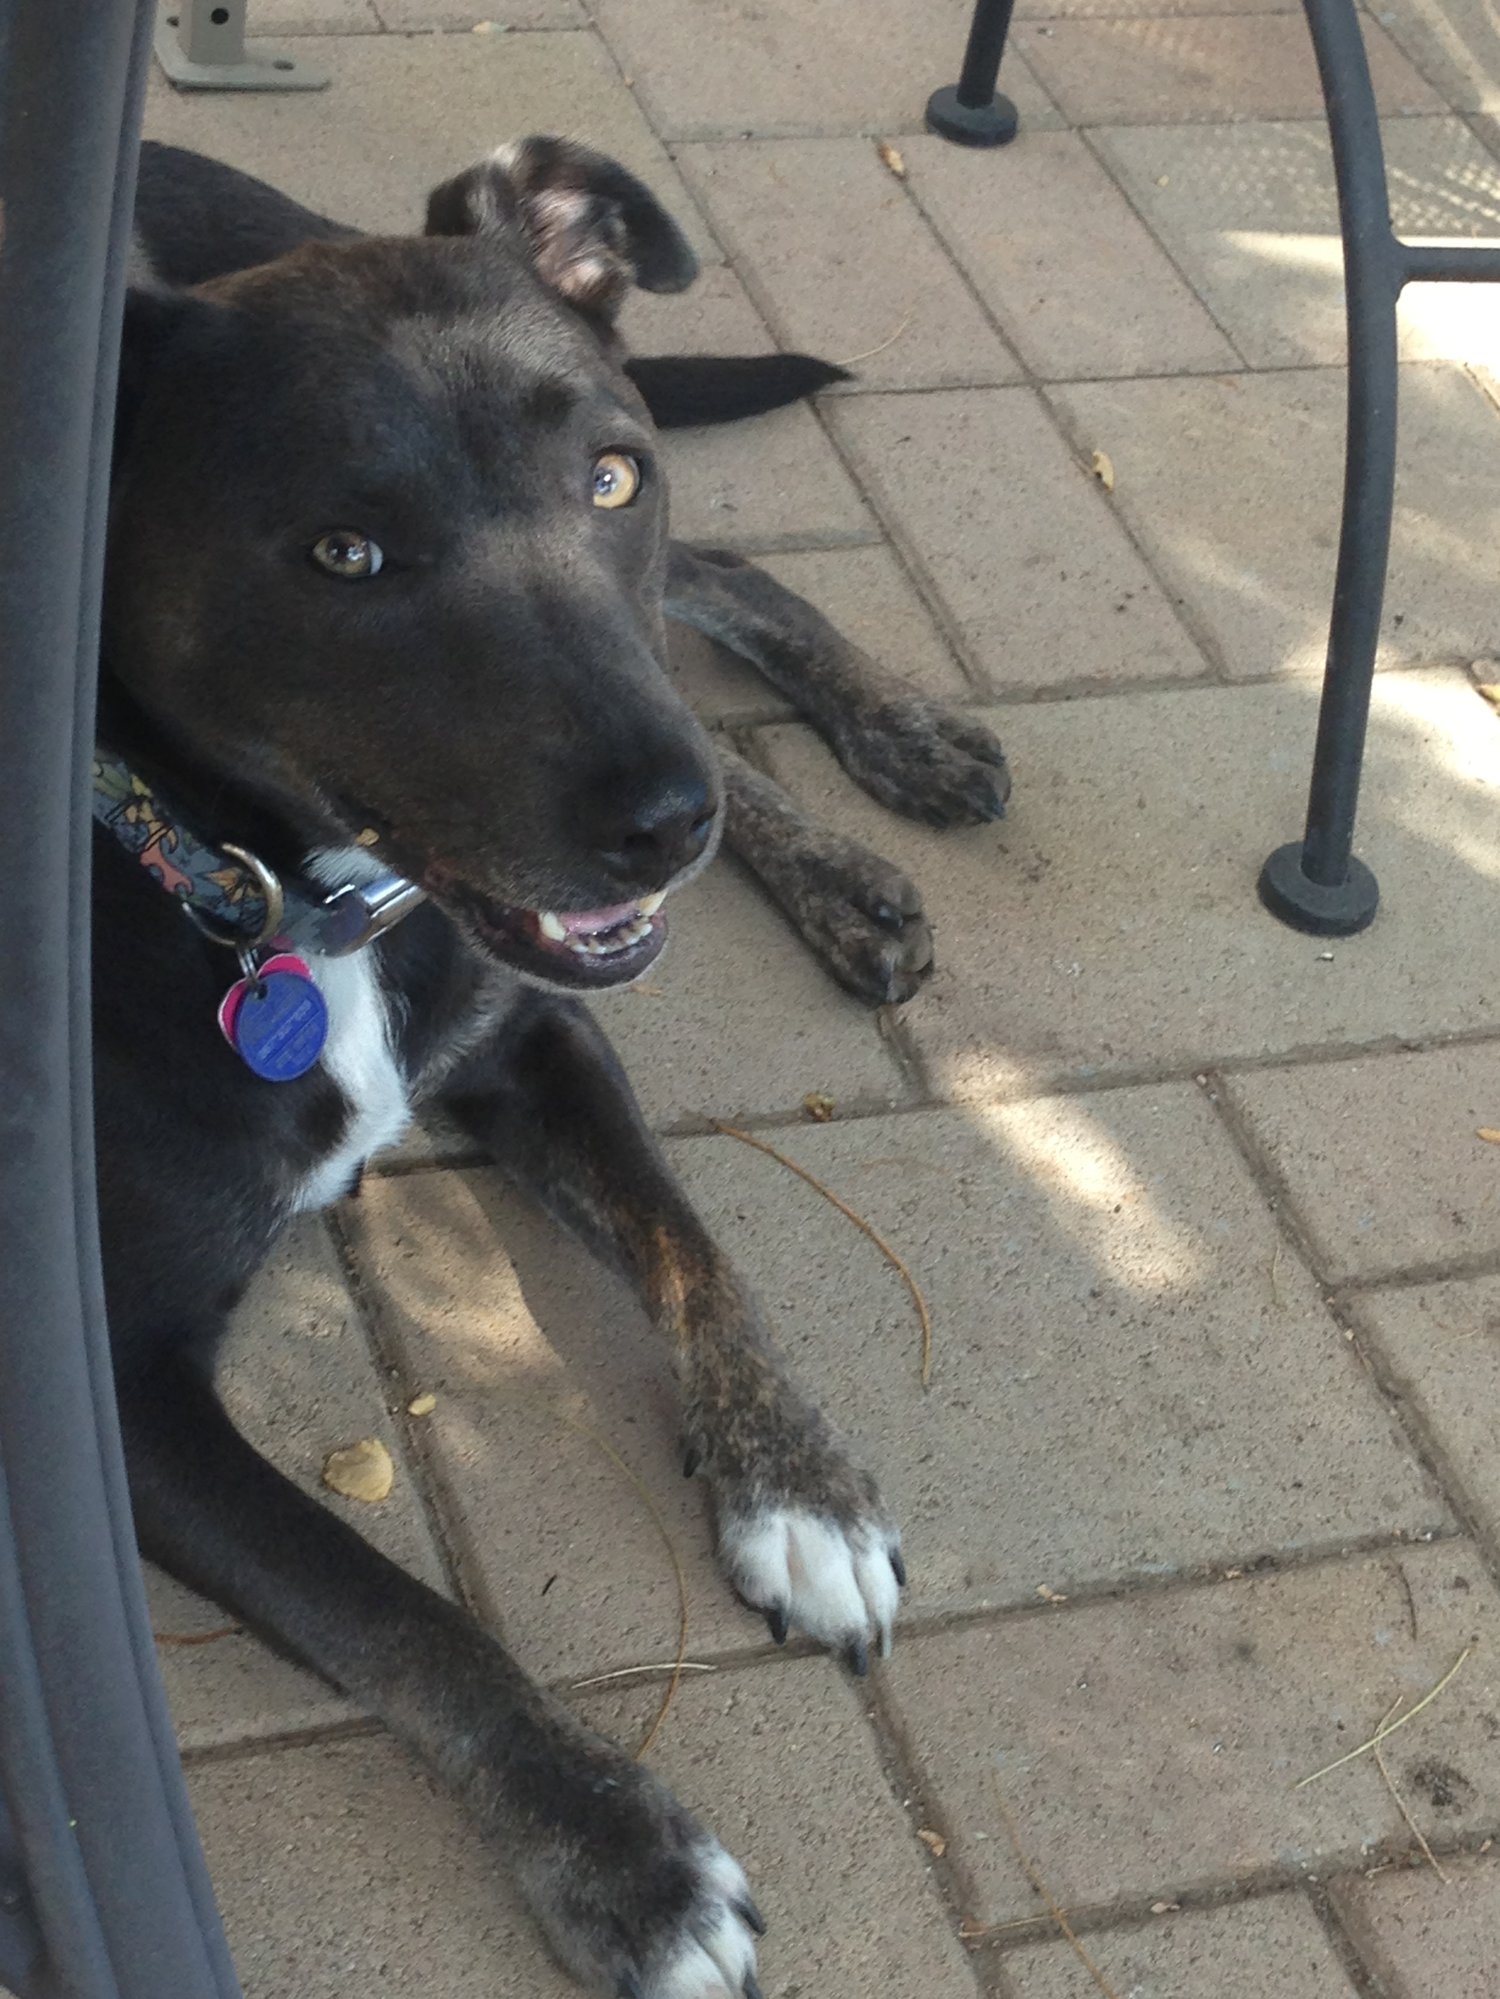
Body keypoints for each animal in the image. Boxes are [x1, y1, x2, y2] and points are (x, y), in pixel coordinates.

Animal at [107, 137, 1007, 1998]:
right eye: (346, 550)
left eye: (606, 477)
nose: (674, 826)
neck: (287, 898)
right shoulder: (111, 1371)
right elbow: (396, 1609)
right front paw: (623, 1851)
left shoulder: (538, 1029)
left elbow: (697, 1246)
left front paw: (796, 1481)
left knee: (716, 574)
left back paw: (875, 791)